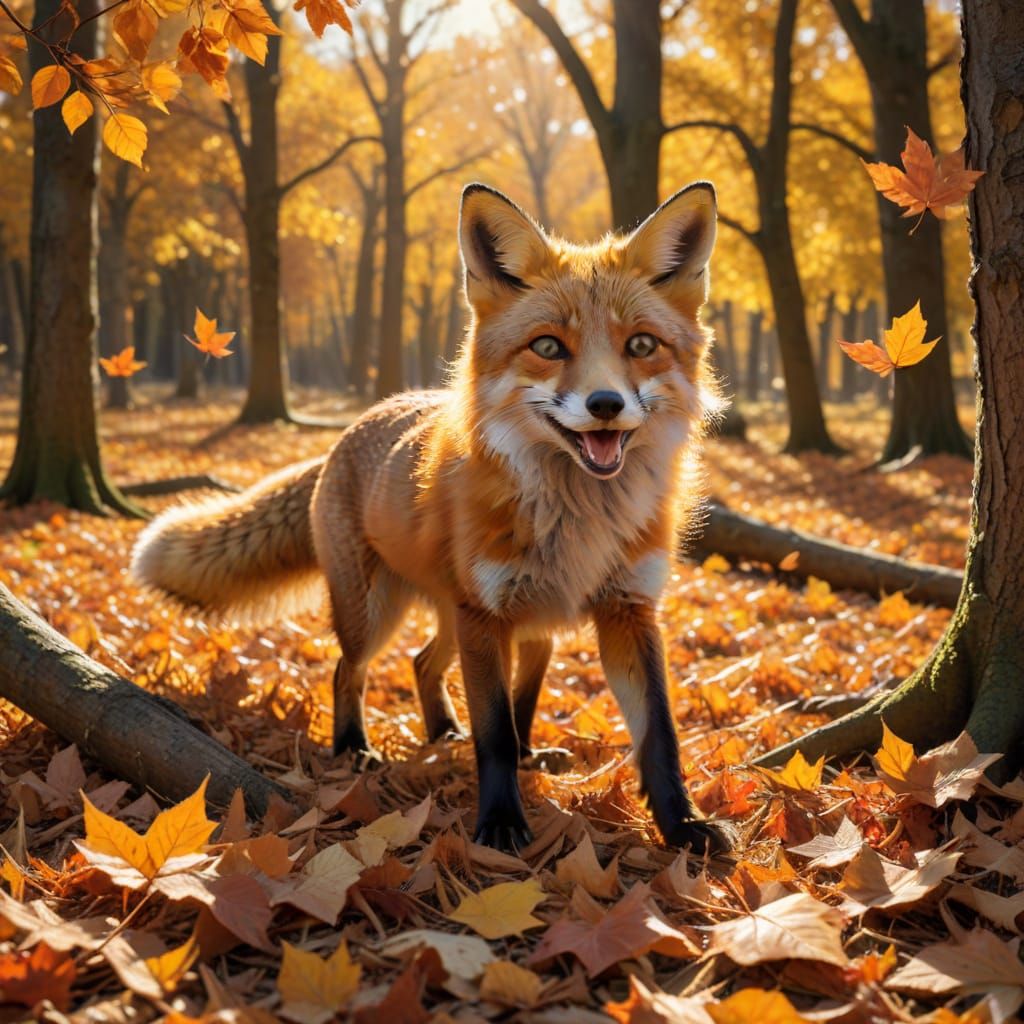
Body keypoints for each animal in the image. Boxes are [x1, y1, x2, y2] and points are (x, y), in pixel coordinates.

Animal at [132, 181, 730, 855]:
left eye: (641, 345)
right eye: (548, 346)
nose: (606, 404)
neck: (578, 517)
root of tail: (353, 429)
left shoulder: (628, 609)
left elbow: (656, 733)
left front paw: (682, 824)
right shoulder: (486, 616)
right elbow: (494, 734)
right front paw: (500, 822)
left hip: (506, 623)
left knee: (430, 665)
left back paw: (458, 735)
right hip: (378, 613)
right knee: (348, 670)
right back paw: (355, 747)